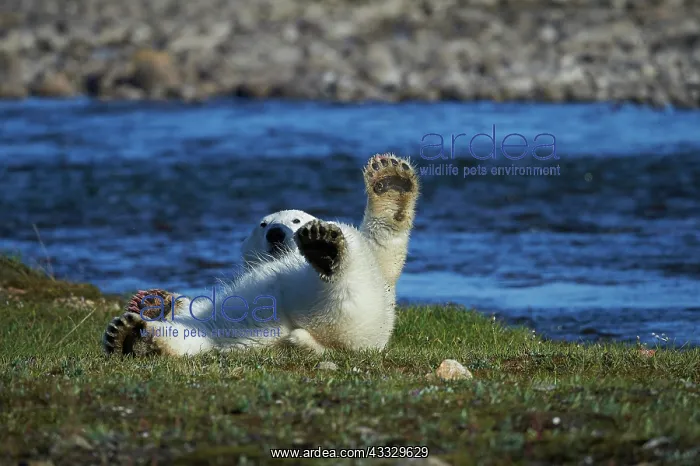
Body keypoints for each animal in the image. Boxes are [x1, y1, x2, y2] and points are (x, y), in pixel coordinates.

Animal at [102, 153, 419, 356]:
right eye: (263, 224)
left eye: (296, 220)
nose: (276, 233)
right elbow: (191, 315)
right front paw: (154, 300)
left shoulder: (380, 274)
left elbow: (381, 249)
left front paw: (390, 182)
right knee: (192, 338)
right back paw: (129, 336)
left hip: (366, 313)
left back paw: (328, 245)